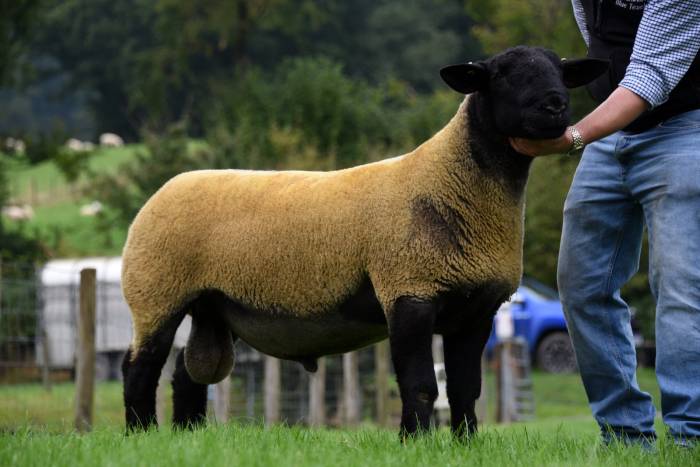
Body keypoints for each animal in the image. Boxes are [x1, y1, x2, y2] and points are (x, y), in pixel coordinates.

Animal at [121, 46, 608, 438]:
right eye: (503, 74)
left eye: (560, 71)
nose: (555, 104)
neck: (447, 183)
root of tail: (167, 187)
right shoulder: (409, 290)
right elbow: (420, 385)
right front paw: (416, 443)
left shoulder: (476, 309)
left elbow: (466, 388)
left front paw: (466, 445)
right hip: (156, 291)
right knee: (139, 368)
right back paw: (140, 434)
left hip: (210, 306)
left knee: (187, 375)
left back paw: (186, 436)